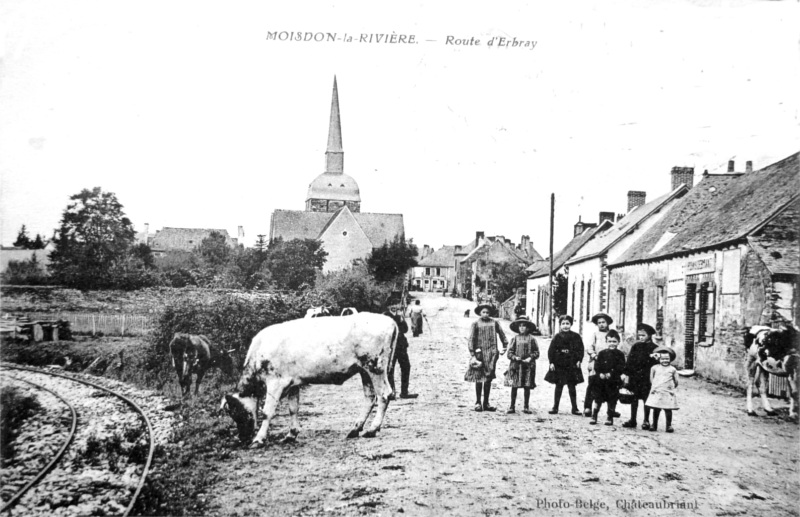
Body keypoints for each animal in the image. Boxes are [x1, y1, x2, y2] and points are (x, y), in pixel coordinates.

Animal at [222, 310, 396, 448]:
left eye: (236, 411)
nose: (243, 438)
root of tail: (389, 320)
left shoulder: (275, 382)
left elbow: (267, 412)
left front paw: (258, 439)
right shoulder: (292, 383)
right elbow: (293, 408)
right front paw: (291, 434)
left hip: (375, 368)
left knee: (384, 395)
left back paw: (372, 429)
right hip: (364, 370)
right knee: (370, 397)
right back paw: (355, 429)